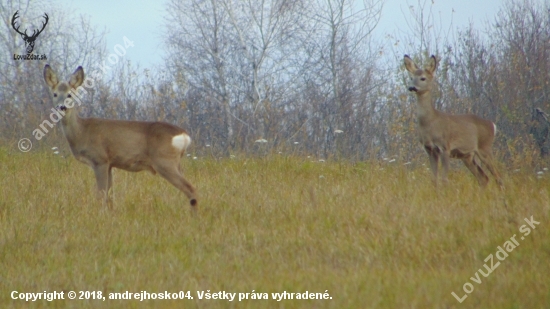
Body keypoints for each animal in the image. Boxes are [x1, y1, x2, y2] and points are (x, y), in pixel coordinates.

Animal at [43, 64, 198, 207]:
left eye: (70, 94)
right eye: (55, 94)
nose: (62, 107)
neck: (82, 132)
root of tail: (184, 135)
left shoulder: (100, 159)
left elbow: (101, 195)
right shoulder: (110, 164)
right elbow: (110, 197)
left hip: (164, 161)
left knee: (191, 189)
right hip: (176, 163)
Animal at [404, 55, 506, 188]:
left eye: (423, 78)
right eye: (411, 78)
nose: (411, 87)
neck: (430, 122)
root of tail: (492, 125)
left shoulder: (445, 147)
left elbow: (444, 179)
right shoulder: (429, 149)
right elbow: (434, 179)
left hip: (485, 147)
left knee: (498, 177)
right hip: (468, 156)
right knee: (484, 178)